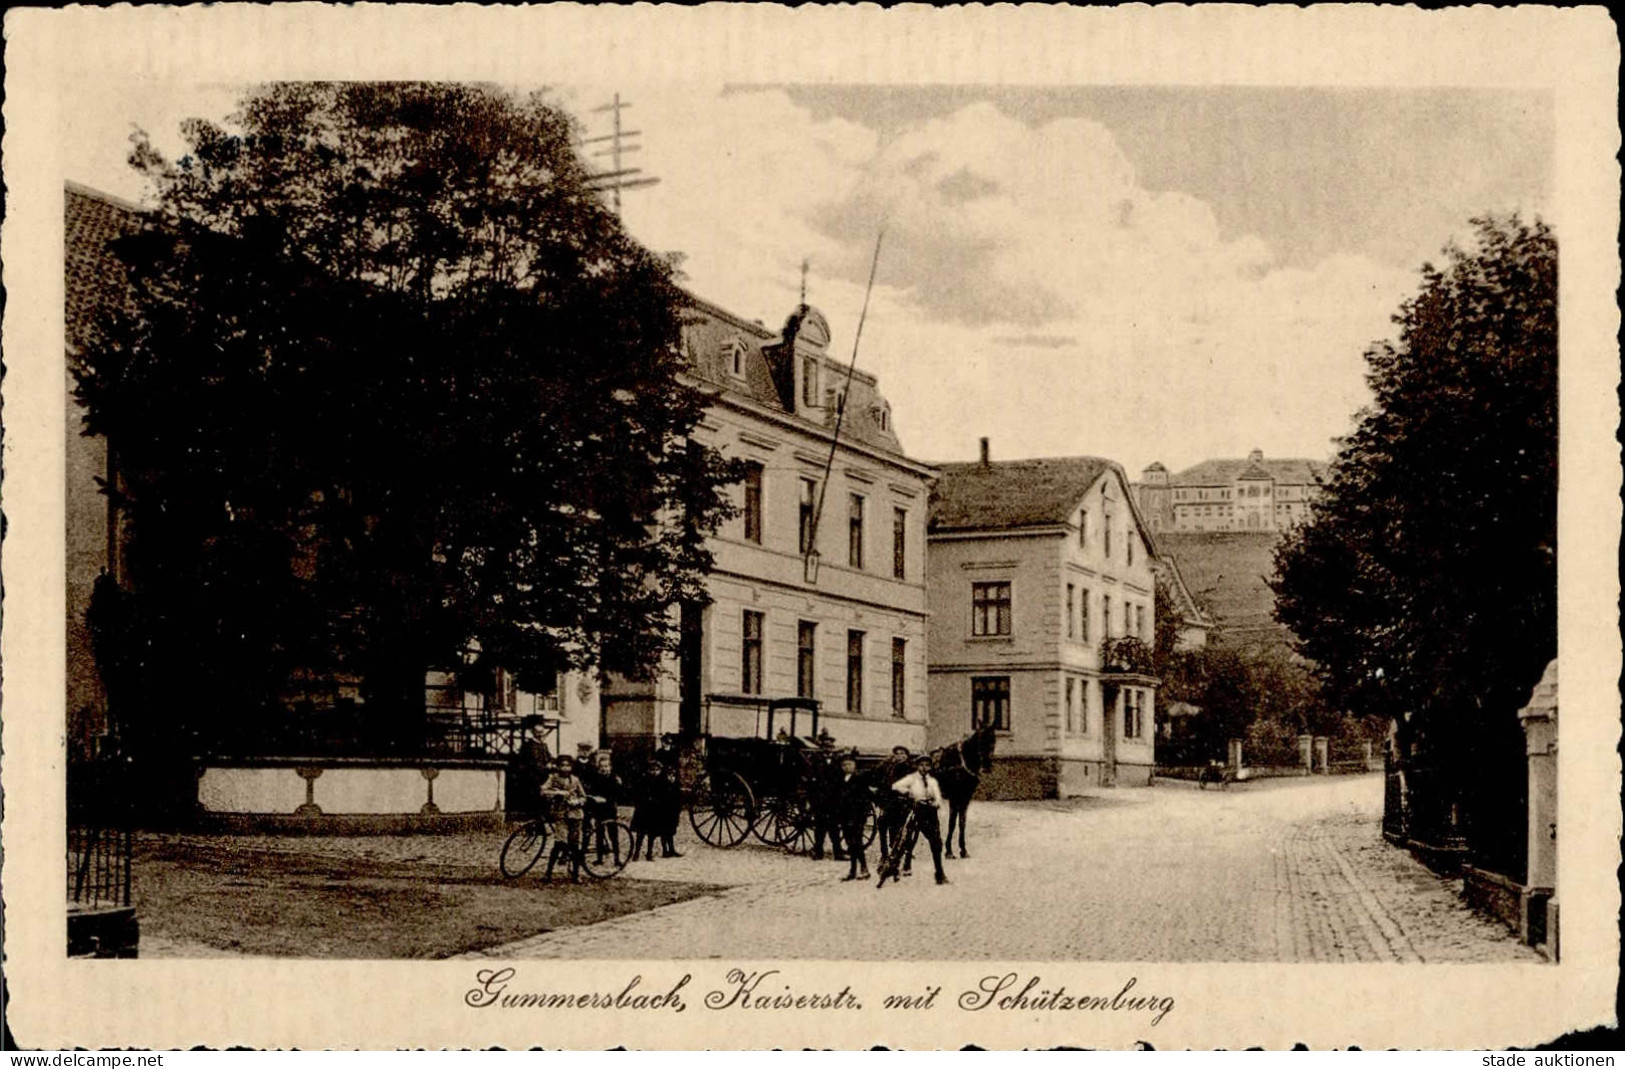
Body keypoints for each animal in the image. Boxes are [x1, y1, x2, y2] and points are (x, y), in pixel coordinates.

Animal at [936, 714, 994, 857]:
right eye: (980, 738)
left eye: (993, 739)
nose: (987, 766)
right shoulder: (954, 797)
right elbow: (952, 822)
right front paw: (949, 850)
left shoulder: (966, 797)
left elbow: (962, 822)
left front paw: (963, 849)